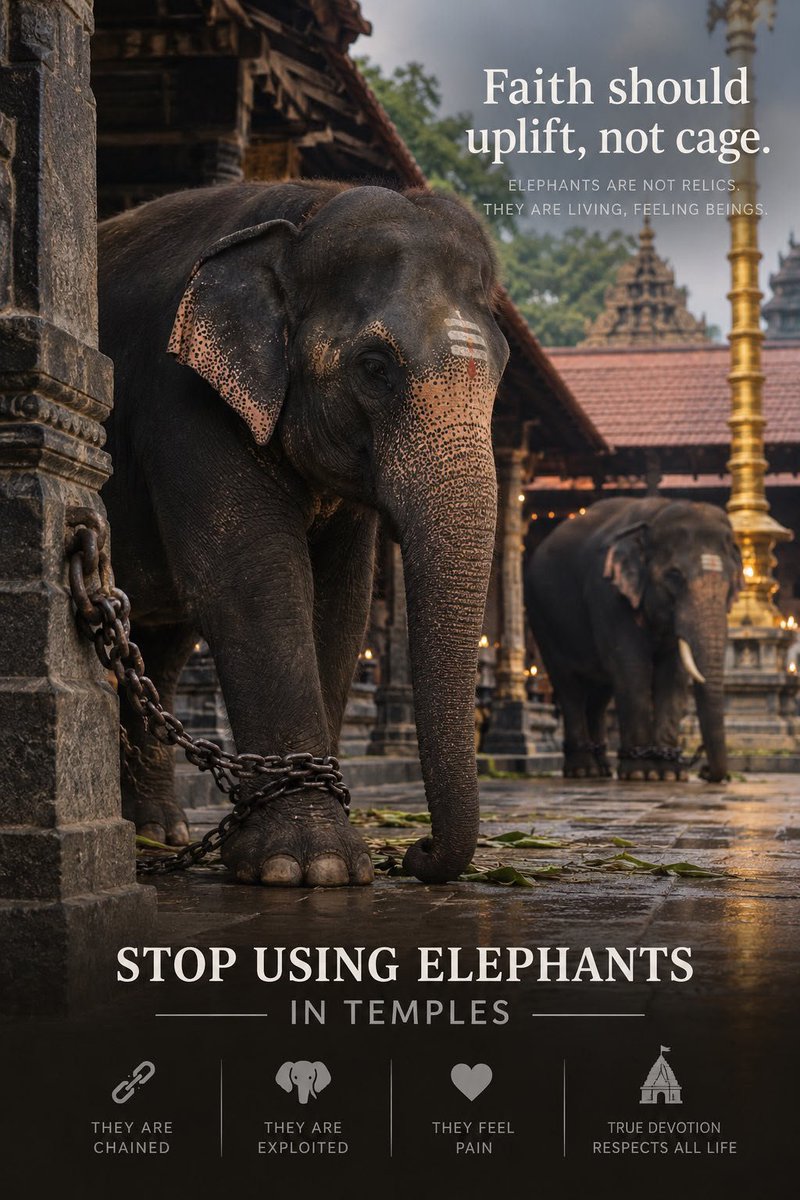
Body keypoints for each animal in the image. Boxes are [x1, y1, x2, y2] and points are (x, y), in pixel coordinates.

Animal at [97, 180, 509, 887]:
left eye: (503, 370)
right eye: (374, 366)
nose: (418, 852)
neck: (302, 214)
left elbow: (338, 604)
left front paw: (310, 862)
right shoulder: (184, 399)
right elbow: (251, 579)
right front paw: (306, 868)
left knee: (162, 641)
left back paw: (155, 834)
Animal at [525, 497, 742, 782]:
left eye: (731, 583)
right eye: (674, 576)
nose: (705, 771)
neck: (657, 514)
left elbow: (673, 675)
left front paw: (669, 774)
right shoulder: (608, 595)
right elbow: (632, 667)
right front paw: (642, 773)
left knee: (599, 694)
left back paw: (601, 769)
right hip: (542, 617)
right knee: (568, 685)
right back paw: (582, 770)